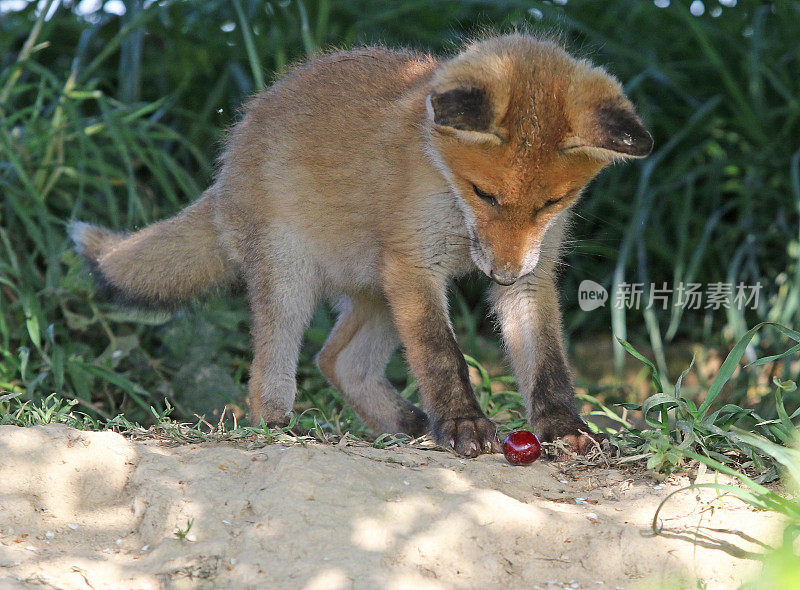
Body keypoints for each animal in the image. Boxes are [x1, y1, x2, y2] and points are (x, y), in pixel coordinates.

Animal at [72, 34, 652, 460]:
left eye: (553, 201)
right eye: (484, 193)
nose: (502, 276)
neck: (439, 174)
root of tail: (232, 153)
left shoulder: (529, 270)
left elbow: (546, 361)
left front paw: (562, 428)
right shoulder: (415, 265)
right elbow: (443, 356)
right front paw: (463, 422)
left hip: (380, 294)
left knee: (338, 362)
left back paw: (407, 423)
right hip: (294, 281)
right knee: (269, 374)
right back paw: (280, 426)